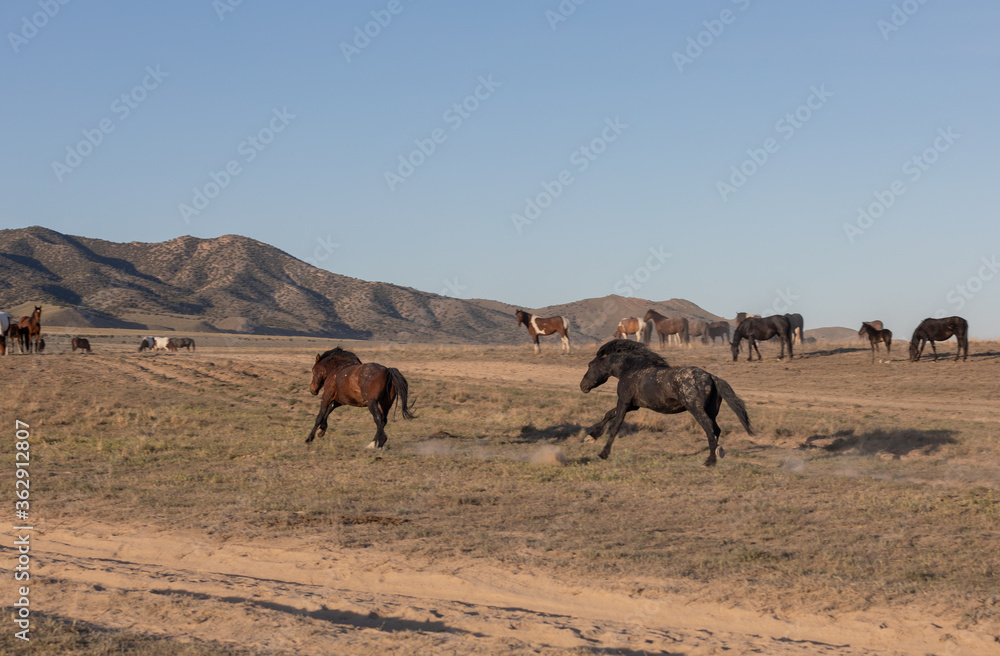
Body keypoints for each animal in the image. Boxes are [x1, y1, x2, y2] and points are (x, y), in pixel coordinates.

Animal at [584, 338, 752, 466]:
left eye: (590, 365)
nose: (582, 386)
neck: (630, 369)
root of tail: (711, 376)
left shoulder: (624, 402)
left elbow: (615, 427)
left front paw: (603, 453)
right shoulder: (632, 406)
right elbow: (608, 414)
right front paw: (590, 437)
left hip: (697, 410)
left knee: (710, 430)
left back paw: (709, 461)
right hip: (711, 411)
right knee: (716, 430)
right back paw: (717, 454)